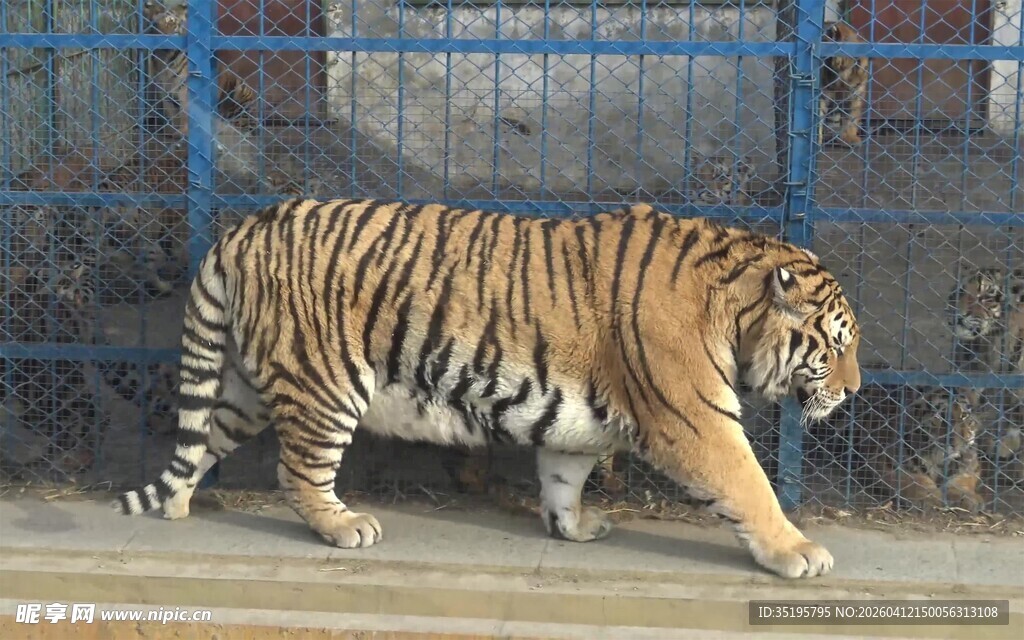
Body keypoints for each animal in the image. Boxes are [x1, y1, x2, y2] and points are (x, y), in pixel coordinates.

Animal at [112, 200, 862, 580]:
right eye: (837, 346)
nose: (855, 392)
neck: (735, 307)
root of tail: (242, 230)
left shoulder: (580, 417)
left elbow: (563, 476)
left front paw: (574, 528)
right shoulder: (696, 418)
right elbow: (749, 484)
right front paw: (800, 553)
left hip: (248, 385)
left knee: (202, 436)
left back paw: (175, 505)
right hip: (324, 380)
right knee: (297, 471)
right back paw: (344, 526)